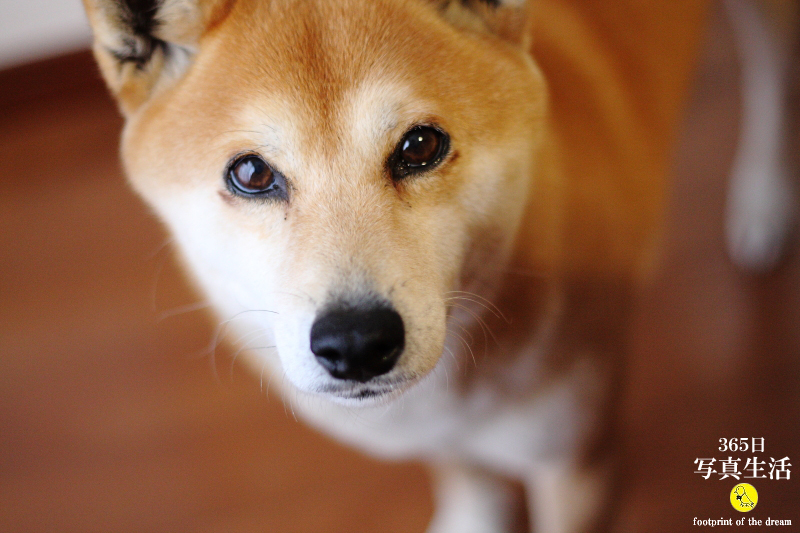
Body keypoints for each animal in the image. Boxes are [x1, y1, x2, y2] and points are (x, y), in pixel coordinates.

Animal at [81, 1, 792, 532]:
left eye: (419, 145)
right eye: (252, 174)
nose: (356, 343)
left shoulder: (579, 459)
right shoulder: (443, 430)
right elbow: (469, 478)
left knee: (775, 70)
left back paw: (766, 198)